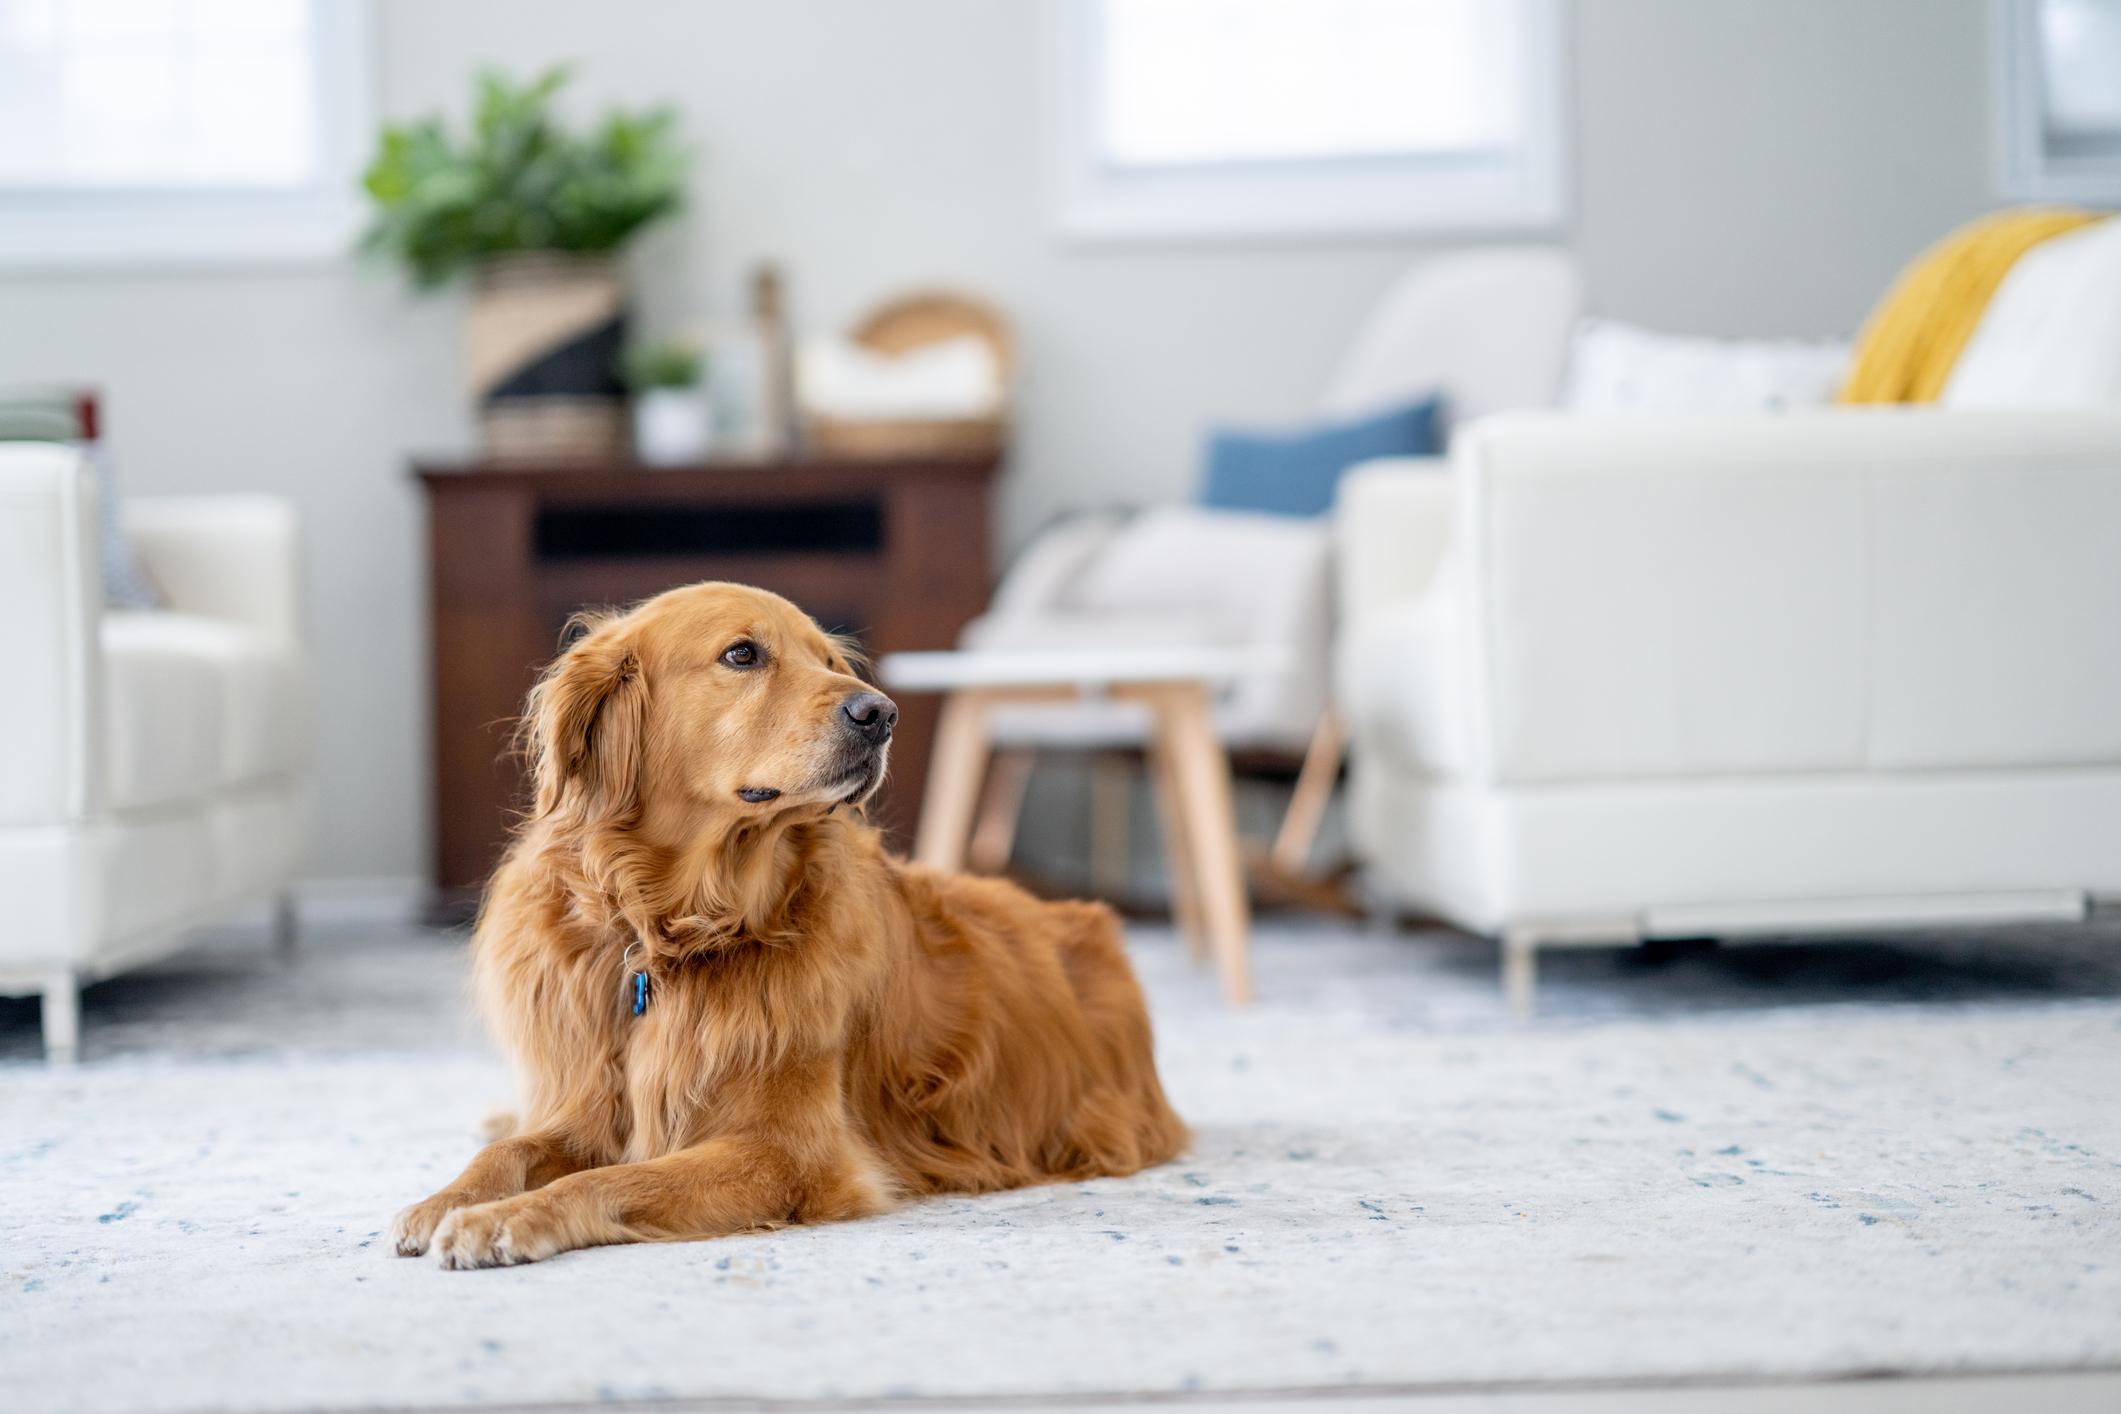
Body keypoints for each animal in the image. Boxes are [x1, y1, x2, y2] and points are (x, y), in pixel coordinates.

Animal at [390, 580, 1187, 1263]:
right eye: (743, 654)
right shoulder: (587, 1107)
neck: (671, 928)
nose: (881, 714)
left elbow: (611, 1178)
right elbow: (515, 1150)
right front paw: (446, 1200)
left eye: (829, 661)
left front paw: (504, 1218)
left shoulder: (785, 1154)